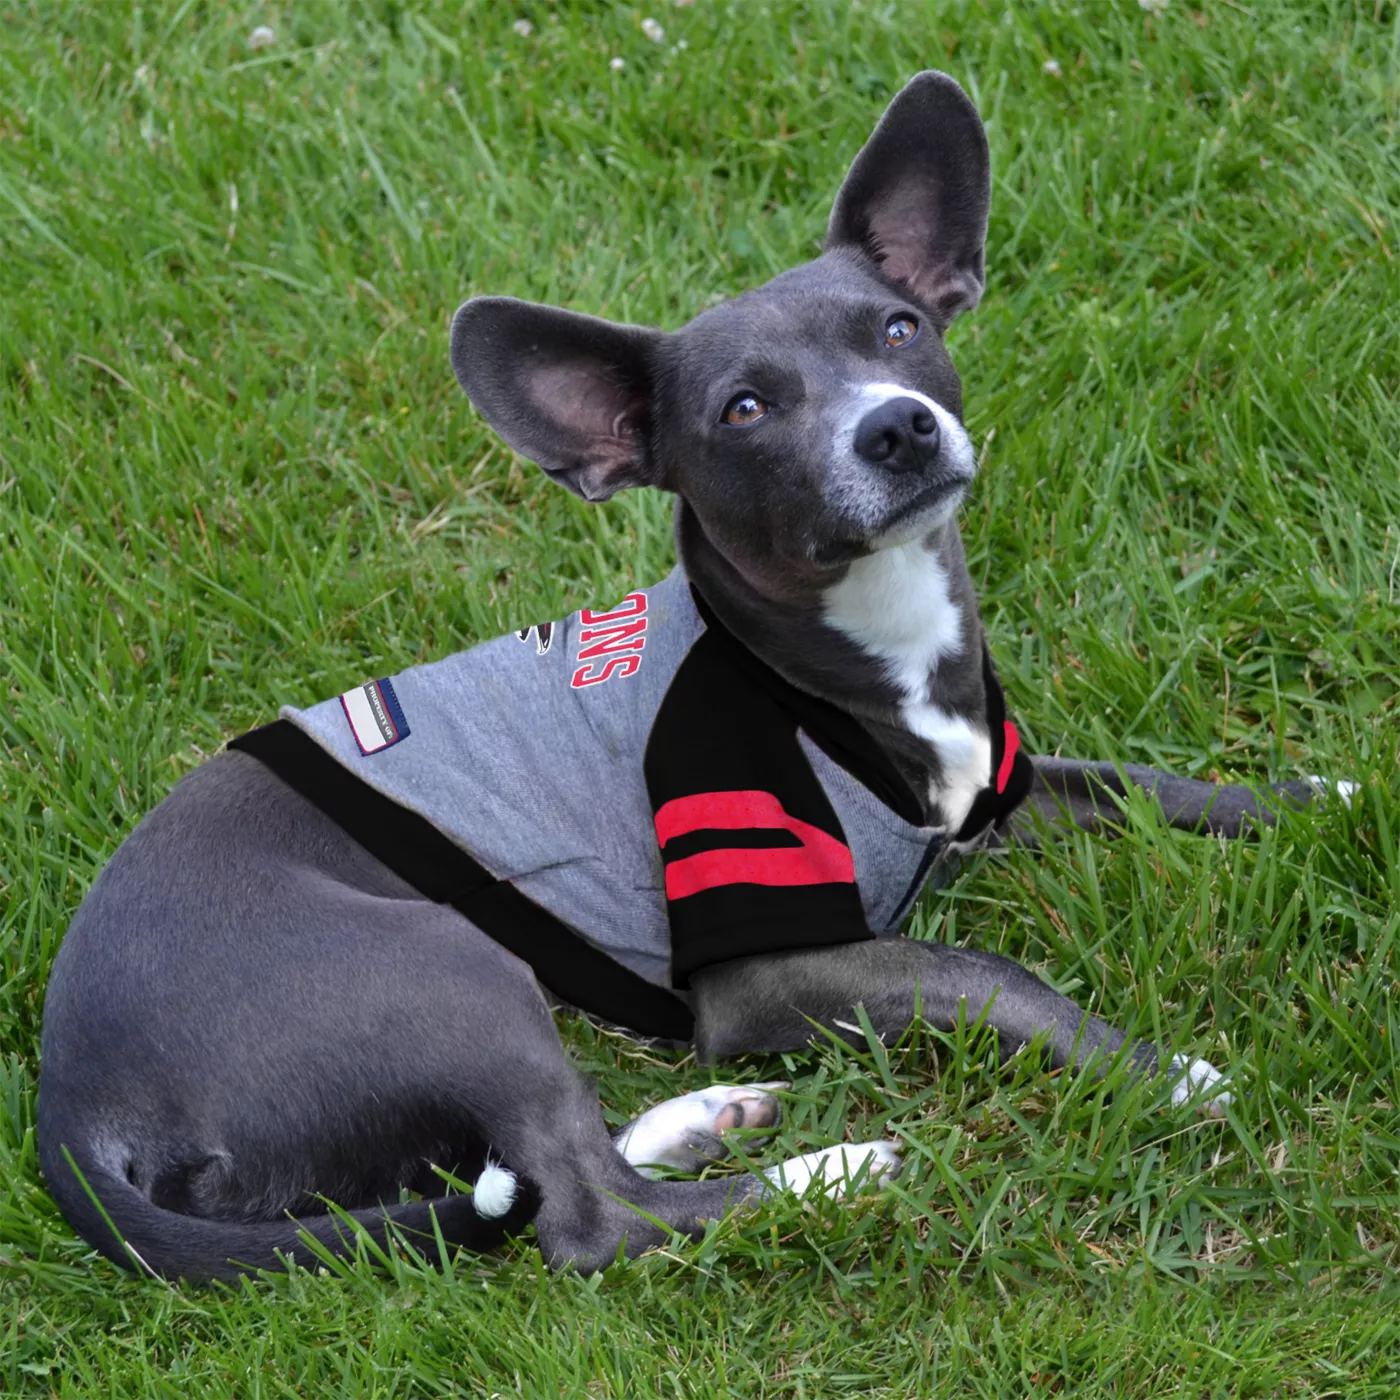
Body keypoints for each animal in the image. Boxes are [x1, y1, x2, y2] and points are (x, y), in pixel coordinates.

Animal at [32, 73, 1321, 1282]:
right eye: (743, 408)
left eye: (899, 328)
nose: (896, 427)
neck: (853, 654)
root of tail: (69, 1109)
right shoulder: (766, 963)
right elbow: (985, 970)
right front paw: (1161, 1071)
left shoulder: (993, 788)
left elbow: (1145, 781)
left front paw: (1319, 803)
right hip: (448, 967)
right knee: (587, 1214)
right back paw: (828, 1167)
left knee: (549, 1164)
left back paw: (700, 1119)